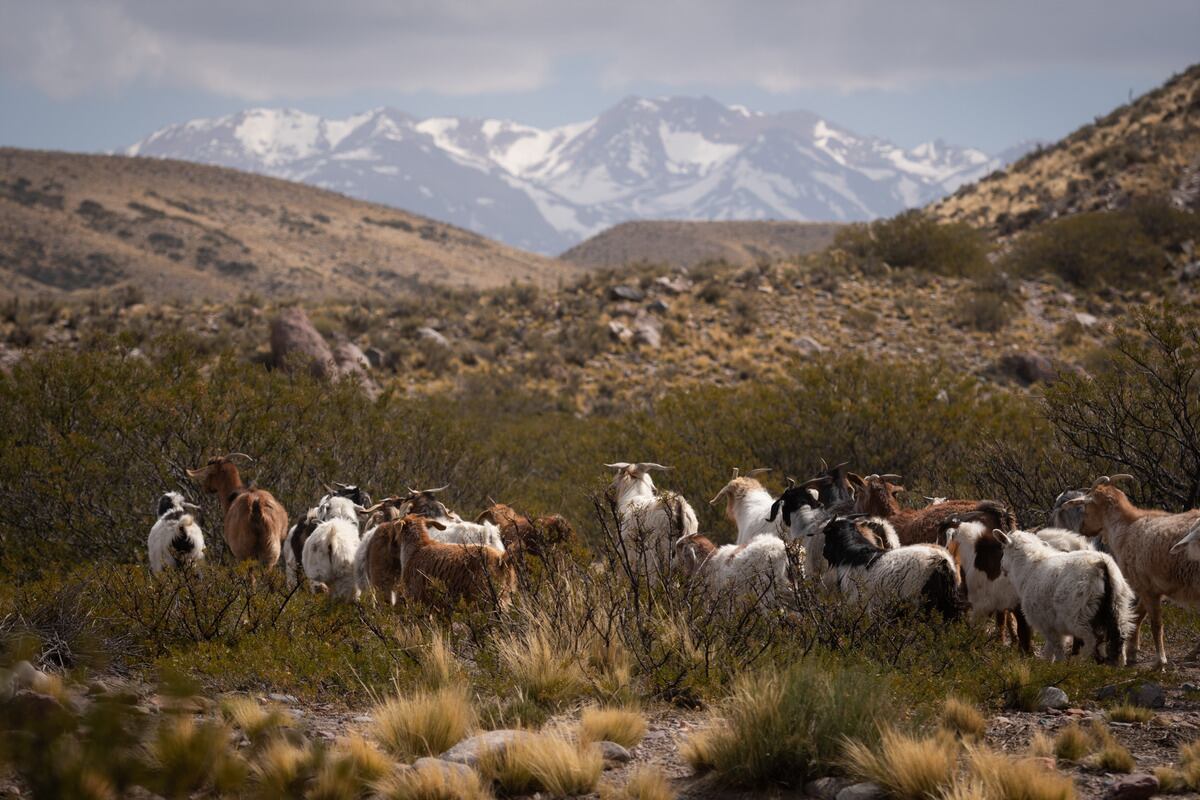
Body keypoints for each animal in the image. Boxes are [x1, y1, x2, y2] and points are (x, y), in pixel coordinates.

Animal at [806, 515, 964, 623]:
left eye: (828, 535)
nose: (824, 552)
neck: (853, 555)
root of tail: (942, 562)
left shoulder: (858, 602)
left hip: (921, 601)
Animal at [993, 527, 1132, 666]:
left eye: (1003, 548)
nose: (1001, 566)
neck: (1028, 568)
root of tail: (1101, 565)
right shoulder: (1051, 624)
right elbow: (1049, 649)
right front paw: (1047, 664)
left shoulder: (1046, 623)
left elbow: (1057, 648)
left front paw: (1059, 666)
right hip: (1118, 607)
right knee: (1119, 640)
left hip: (1080, 615)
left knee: (1092, 641)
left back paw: (1081, 663)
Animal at [1065, 474, 1200, 671]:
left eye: (1087, 507)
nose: (1083, 529)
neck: (1126, 527)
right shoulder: (1148, 587)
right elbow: (1138, 615)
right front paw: (1131, 652)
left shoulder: (1147, 587)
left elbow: (1155, 624)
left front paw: (1160, 662)